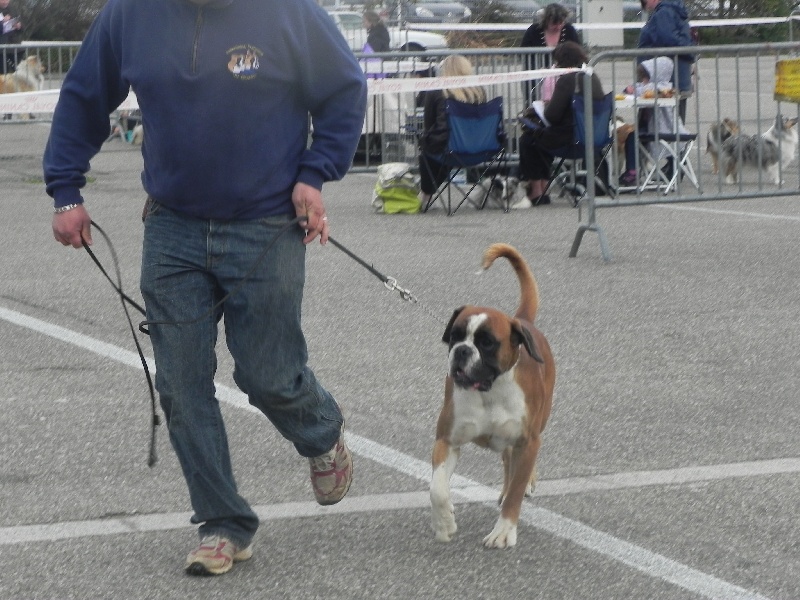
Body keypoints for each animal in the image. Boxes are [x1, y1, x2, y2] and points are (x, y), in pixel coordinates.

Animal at [432, 244, 556, 548]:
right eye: (455, 335)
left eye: (487, 343)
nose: (462, 350)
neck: (490, 391)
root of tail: (520, 320)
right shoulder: (447, 440)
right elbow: (437, 488)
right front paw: (444, 523)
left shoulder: (528, 441)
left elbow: (516, 492)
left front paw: (504, 530)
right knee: (507, 460)